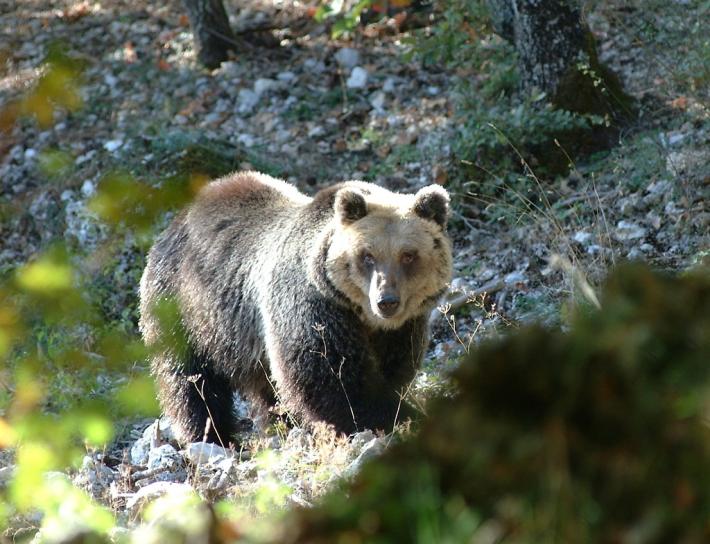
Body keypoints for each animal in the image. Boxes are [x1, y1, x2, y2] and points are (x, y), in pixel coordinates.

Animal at [139, 171, 453, 444]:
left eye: (408, 255)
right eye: (367, 256)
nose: (386, 301)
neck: (363, 316)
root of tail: (176, 220)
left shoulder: (402, 329)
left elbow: (393, 369)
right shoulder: (312, 305)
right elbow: (332, 378)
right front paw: (398, 417)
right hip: (184, 308)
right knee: (190, 380)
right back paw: (212, 436)